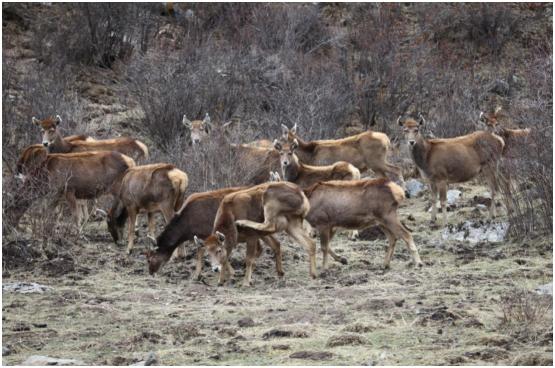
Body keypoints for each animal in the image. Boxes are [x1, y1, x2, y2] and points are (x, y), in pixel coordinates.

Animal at [5, 150, 136, 230]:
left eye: (9, 209)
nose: (10, 226)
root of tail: (132, 162)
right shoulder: (59, 194)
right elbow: (51, 212)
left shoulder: (66, 189)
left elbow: (74, 215)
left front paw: (78, 232)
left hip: (119, 186)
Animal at [143, 185, 284, 284]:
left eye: (150, 258)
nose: (150, 272)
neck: (186, 228)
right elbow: (202, 253)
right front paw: (197, 275)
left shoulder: (207, 232)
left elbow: (207, 253)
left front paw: (230, 273)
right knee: (274, 244)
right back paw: (277, 272)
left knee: (262, 247)